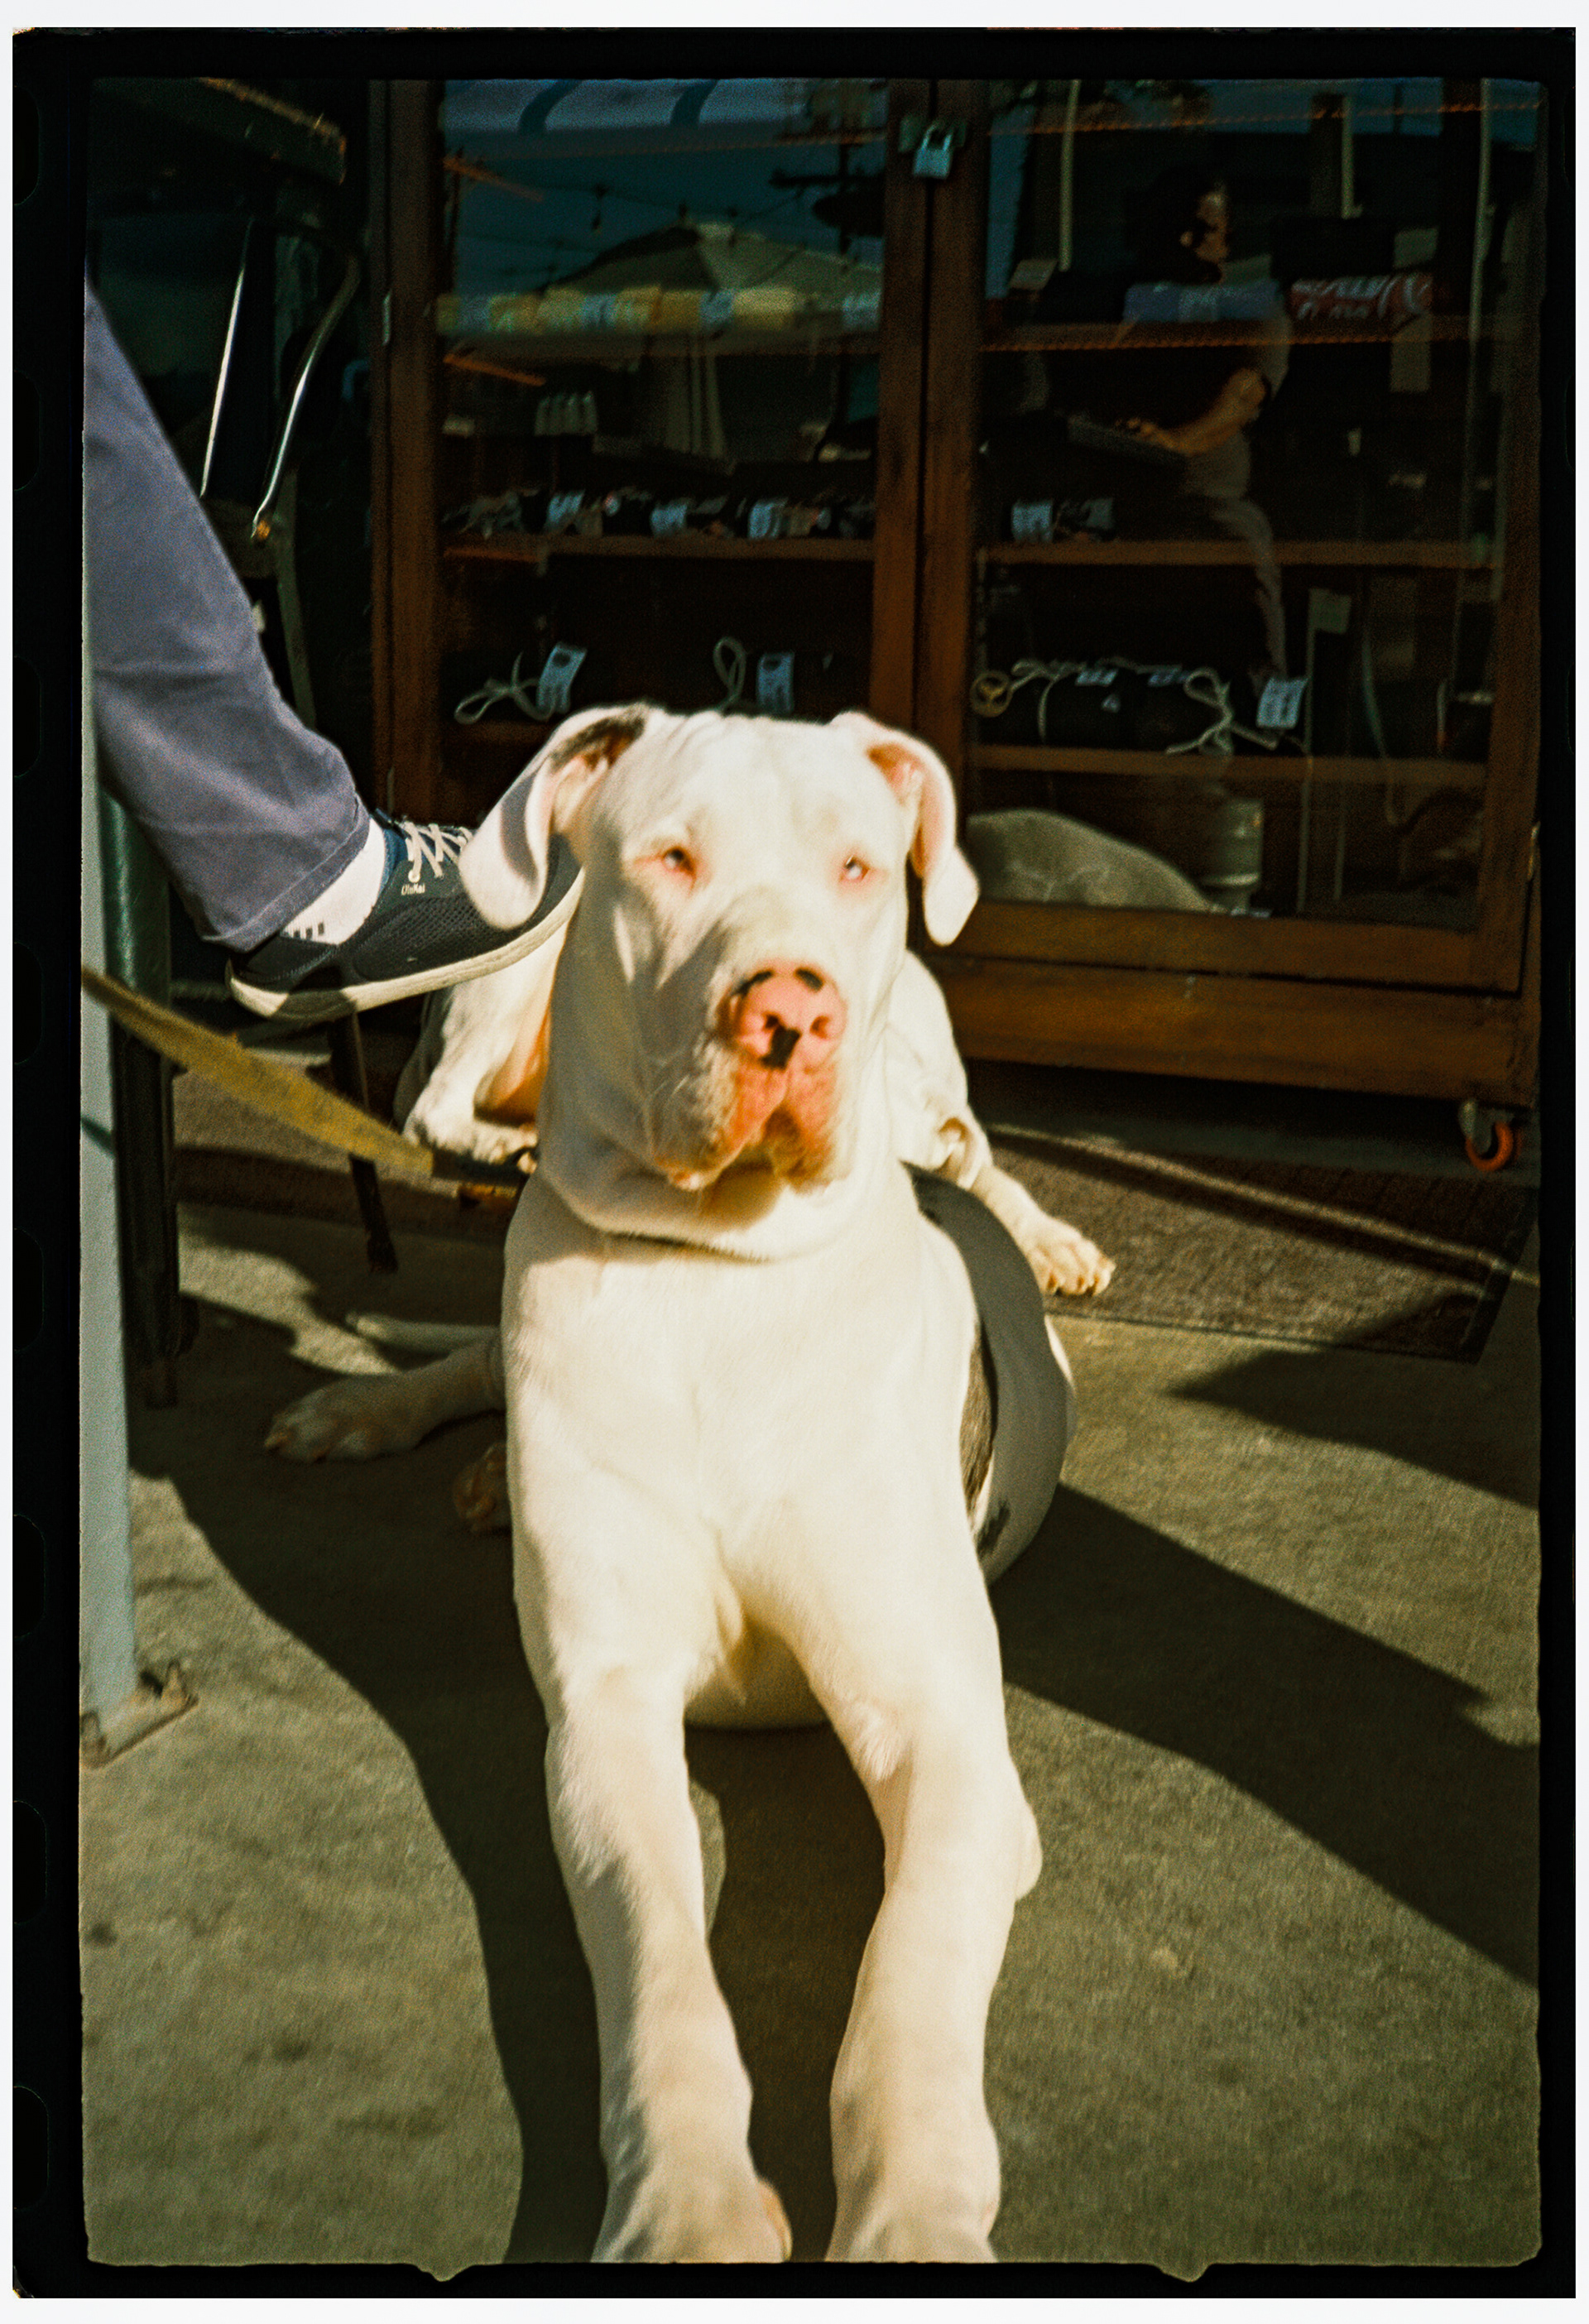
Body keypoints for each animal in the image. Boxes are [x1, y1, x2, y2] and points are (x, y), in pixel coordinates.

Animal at [267, 706, 1113, 2260]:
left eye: (857, 866)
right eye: (669, 857)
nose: (793, 1012)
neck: (719, 1276)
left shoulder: (947, 1735)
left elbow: (909, 1976)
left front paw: (914, 2212)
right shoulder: (604, 1713)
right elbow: (657, 1960)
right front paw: (687, 2204)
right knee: (476, 1339)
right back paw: (383, 1415)